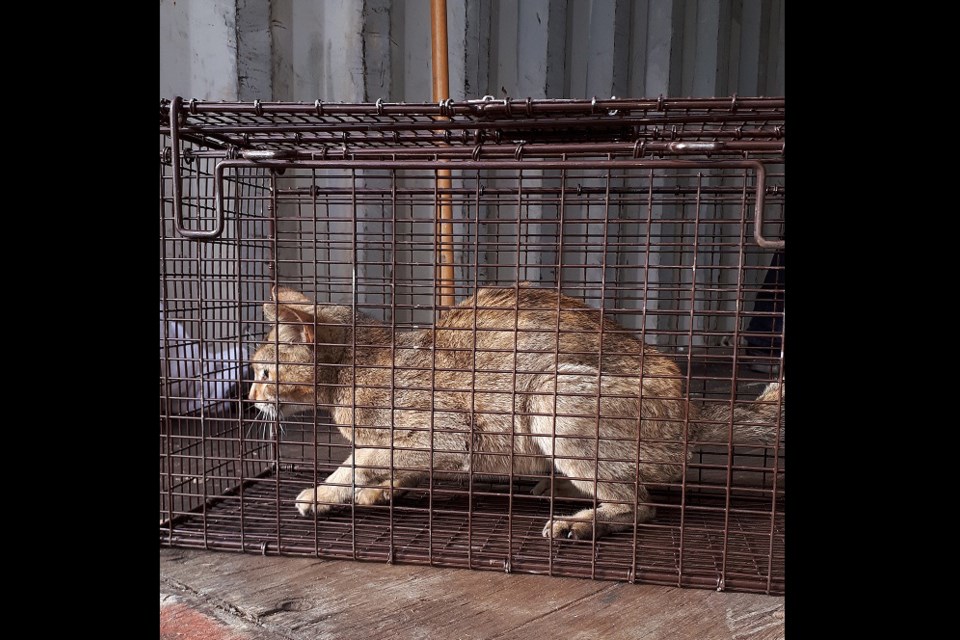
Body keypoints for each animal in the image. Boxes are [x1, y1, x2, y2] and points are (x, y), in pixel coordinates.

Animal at [248, 284, 780, 540]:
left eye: (263, 371)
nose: (251, 398)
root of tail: (692, 412)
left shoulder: (444, 435)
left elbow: (360, 459)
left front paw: (326, 491)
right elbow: (388, 463)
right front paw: (382, 489)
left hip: (549, 393)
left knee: (641, 503)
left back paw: (581, 521)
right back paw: (556, 487)